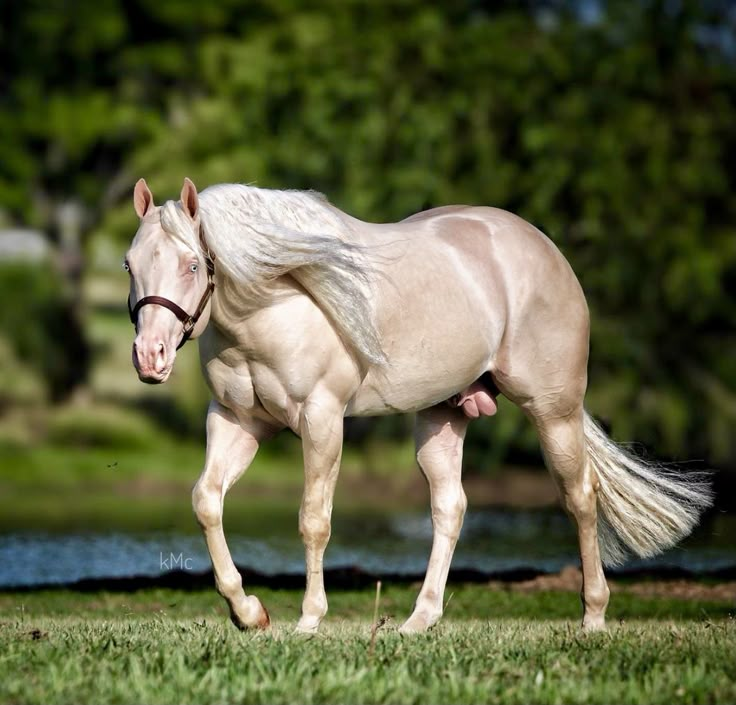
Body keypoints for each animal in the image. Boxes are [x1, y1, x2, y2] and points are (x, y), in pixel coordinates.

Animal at [126, 177, 712, 632]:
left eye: (193, 264)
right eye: (130, 264)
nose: (150, 357)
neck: (274, 304)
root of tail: (544, 249)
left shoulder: (322, 421)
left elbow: (314, 518)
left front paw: (309, 620)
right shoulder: (237, 421)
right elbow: (207, 501)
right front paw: (249, 612)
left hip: (554, 411)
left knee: (581, 498)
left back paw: (593, 616)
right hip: (443, 414)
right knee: (450, 507)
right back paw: (419, 620)